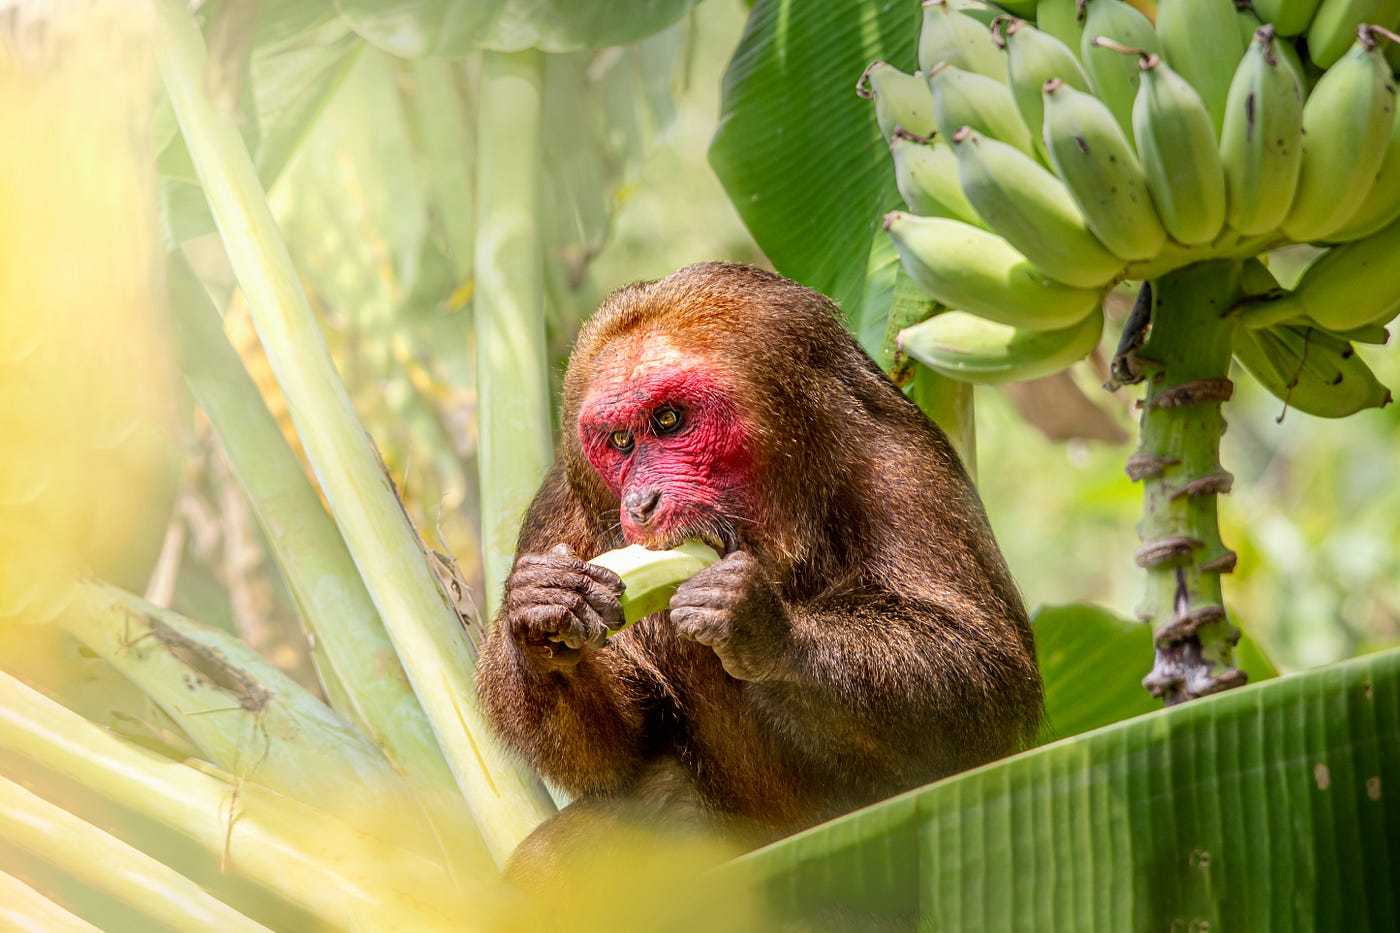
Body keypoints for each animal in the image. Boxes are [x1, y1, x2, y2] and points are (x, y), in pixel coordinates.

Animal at [476, 262, 1042, 876]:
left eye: (669, 420)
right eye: (621, 441)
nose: (640, 503)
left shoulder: (901, 467)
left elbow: (988, 683)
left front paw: (762, 627)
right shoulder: (562, 506)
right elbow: (621, 752)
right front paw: (542, 615)